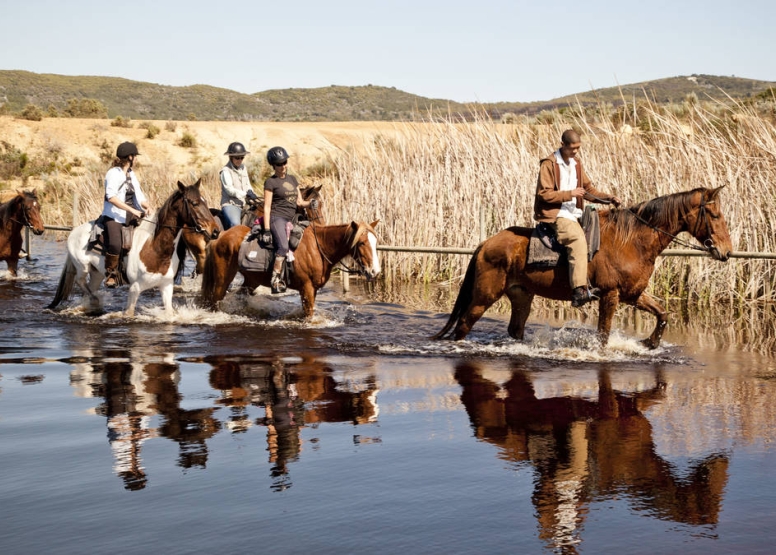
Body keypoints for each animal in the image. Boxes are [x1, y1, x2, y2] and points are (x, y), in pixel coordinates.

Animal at [48, 179, 220, 314]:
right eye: (194, 203)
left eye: (205, 202)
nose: (216, 231)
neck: (155, 249)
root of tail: (74, 231)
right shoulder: (135, 288)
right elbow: (129, 313)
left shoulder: (166, 286)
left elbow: (170, 313)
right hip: (82, 266)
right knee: (80, 281)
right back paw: (95, 301)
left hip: (97, 273)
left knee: (89, 287)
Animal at [200, 219, 382, 320]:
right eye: (362, 243)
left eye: (375, 242)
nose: (375, 271)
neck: (319, 248)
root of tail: (220, 236)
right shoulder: (306, 288)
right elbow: (308, 314)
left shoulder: (313, 289)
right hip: (223, 279)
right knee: (215, 300)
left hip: (251, 280)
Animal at [436, 189, 732, 350]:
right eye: (714, 215)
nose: (726, 251)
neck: (632, 240)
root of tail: (486, 243)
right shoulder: (610, 295)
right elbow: (603, 334)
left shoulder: (633, 295)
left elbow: (663, 314)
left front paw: (649, 343)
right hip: (484, 296)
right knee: (464, 324)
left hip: (521, 295)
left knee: (515, 329)